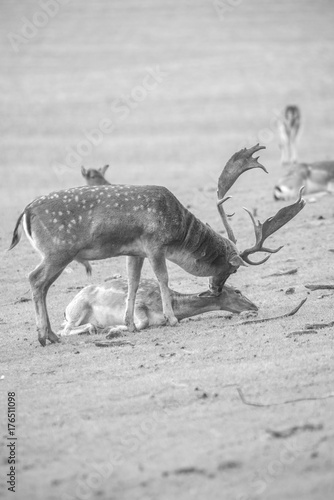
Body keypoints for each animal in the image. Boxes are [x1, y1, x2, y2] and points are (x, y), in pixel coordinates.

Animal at [58, 278, 258, 336]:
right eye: (238, 291)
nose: (254, 306)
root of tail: (65, 309)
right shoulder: (138, 303)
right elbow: (142, 322)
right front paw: (113, 328)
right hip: (78, 309)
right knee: (65, 331)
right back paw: (95, 328)